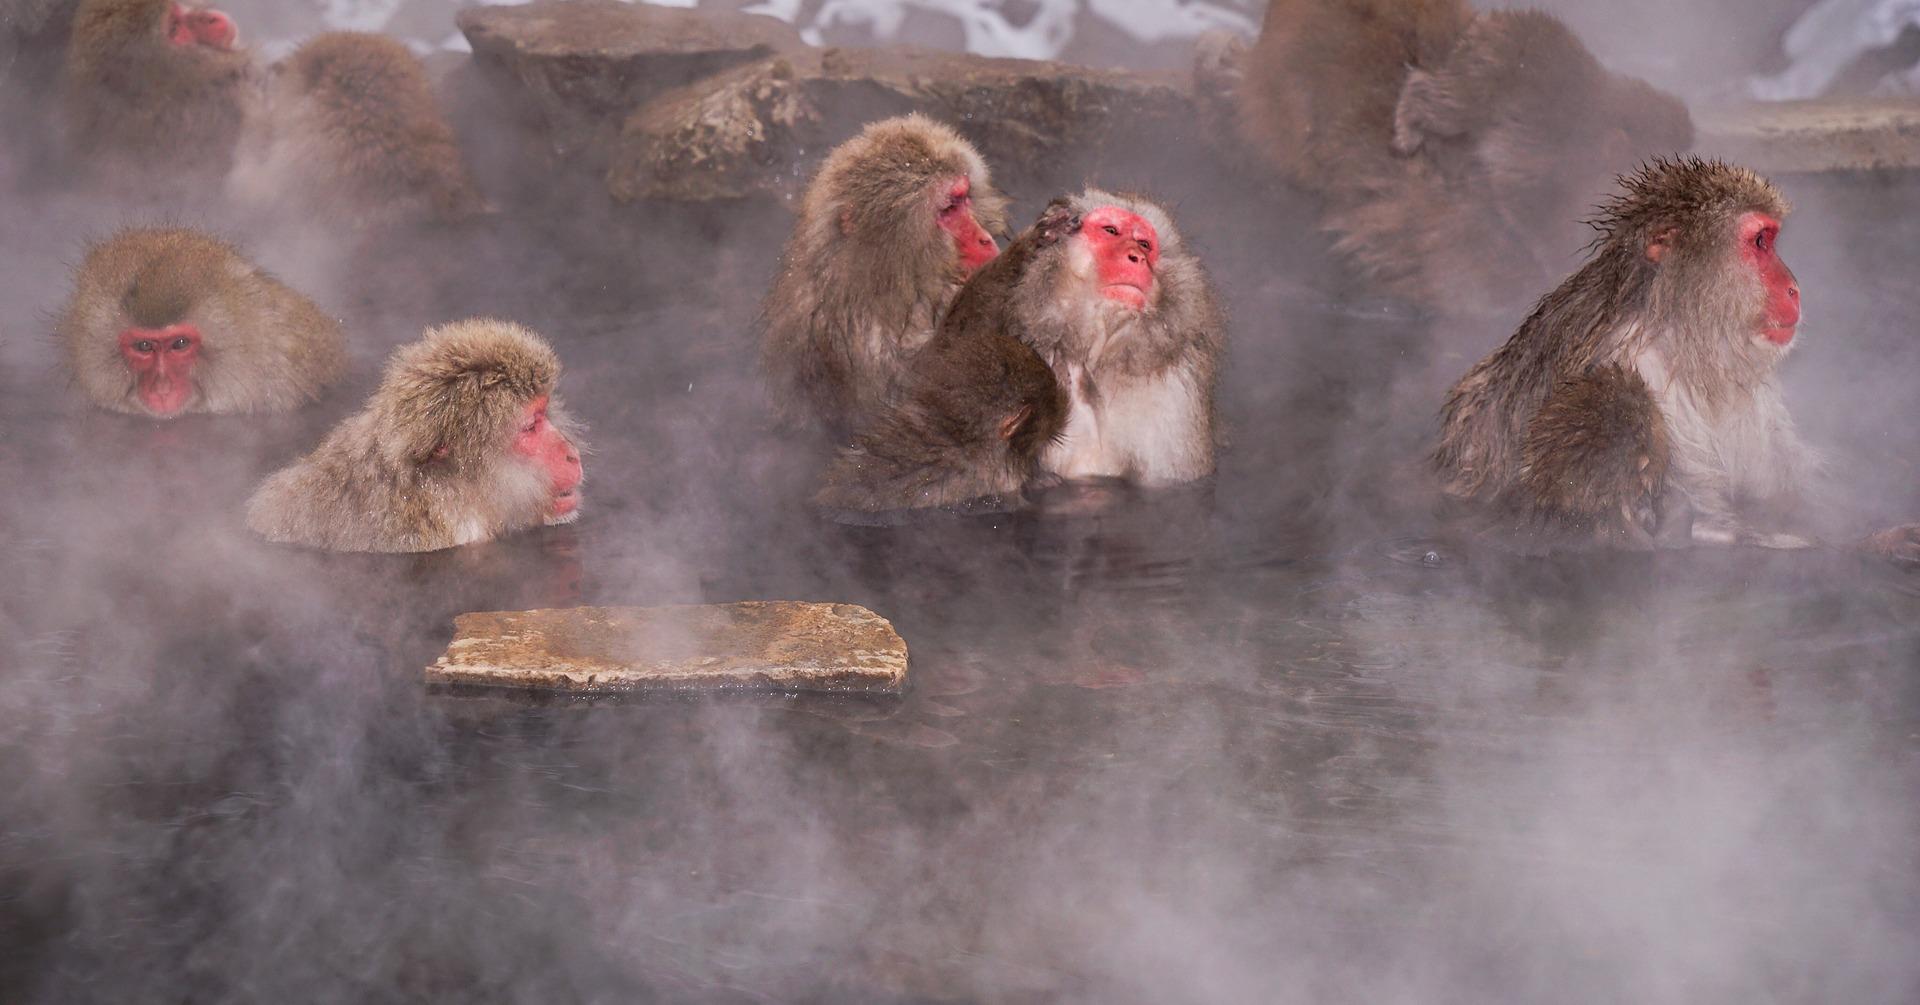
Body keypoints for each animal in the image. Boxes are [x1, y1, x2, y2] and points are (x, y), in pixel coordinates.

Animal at [936, 190, 1224, 488]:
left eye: (1145, 244)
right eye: (1110, 231)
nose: (1137, 257)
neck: (1095, 351)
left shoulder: (1177, 392)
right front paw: (1031, 244)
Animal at [1435, 157, 1920, 560]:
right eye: (1761, 241)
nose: (1794, 288)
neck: (1682, 331)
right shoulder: (1636, 368)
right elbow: (1698, 520)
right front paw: (1879, 544)